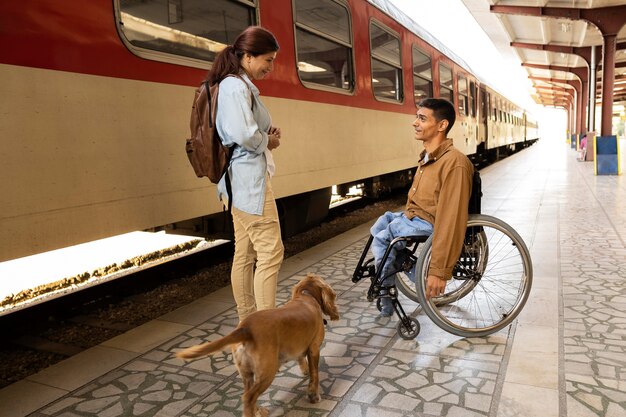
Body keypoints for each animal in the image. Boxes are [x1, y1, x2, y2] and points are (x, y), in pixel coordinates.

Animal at [176, 272, 338, 416]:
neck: (305, 296)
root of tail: (245, 328)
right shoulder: (314, 348)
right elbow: (315, 374)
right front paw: (313, 395)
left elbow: (301, 360)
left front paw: (304, 371)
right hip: (267, 372)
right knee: (249, 397)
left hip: (247, 374)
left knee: (248, 394)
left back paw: (258, 411)